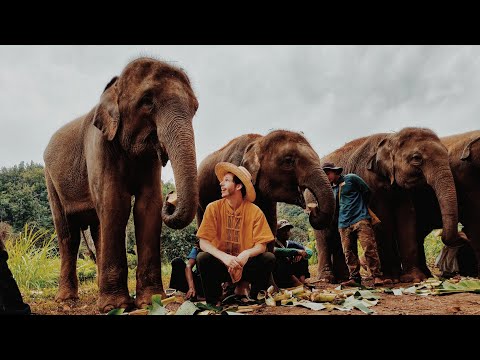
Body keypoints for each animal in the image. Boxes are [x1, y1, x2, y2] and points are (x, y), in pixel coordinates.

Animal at [45, 57, 201, 312]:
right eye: (147, 102)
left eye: (195, 108)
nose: (171, 198)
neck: (114, 87)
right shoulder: (100, 147)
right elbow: (115, 203)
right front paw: (115, 306)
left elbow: (148, 206)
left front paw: (150, 301)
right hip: (50, 180)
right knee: (68, 233)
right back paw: (67, 299)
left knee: (97, 228)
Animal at [316, 127, 464, 284]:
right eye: (416, 158)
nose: (463, 235)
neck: (391, 138)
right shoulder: (368, 178)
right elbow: (383, 217)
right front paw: (390, 279)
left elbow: (407, 216)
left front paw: (414, 278)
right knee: (324, 236)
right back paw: (327, 279)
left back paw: (344, 278)